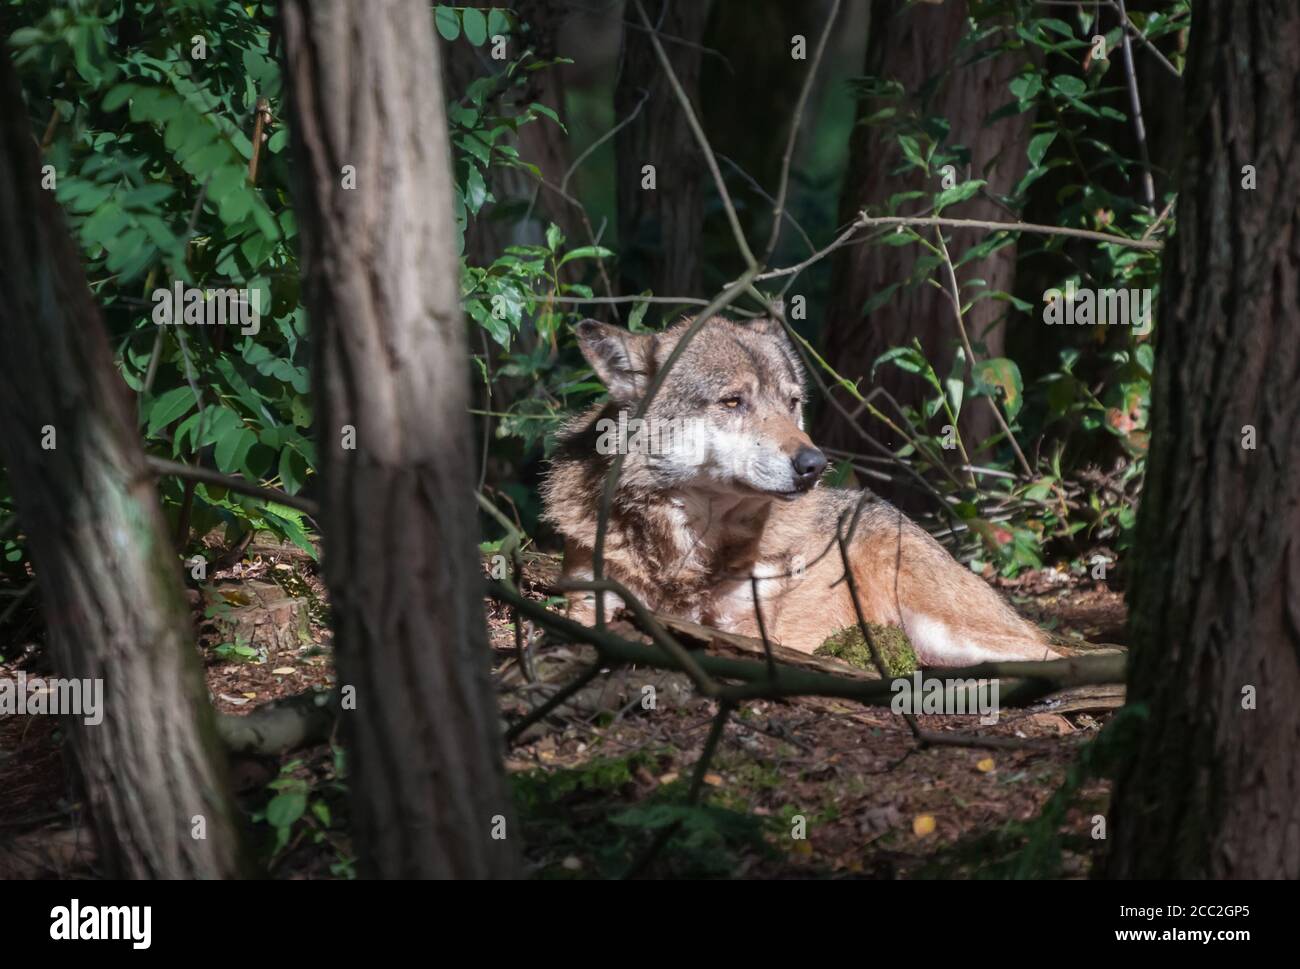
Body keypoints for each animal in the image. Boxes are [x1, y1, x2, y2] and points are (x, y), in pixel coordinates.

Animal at [541, 315, 1057, 666]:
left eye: (792, 403)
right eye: (733, 401)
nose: (814, 465)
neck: (686, 553)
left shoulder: (746, 627)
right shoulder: (593, 603)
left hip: (944, 630)